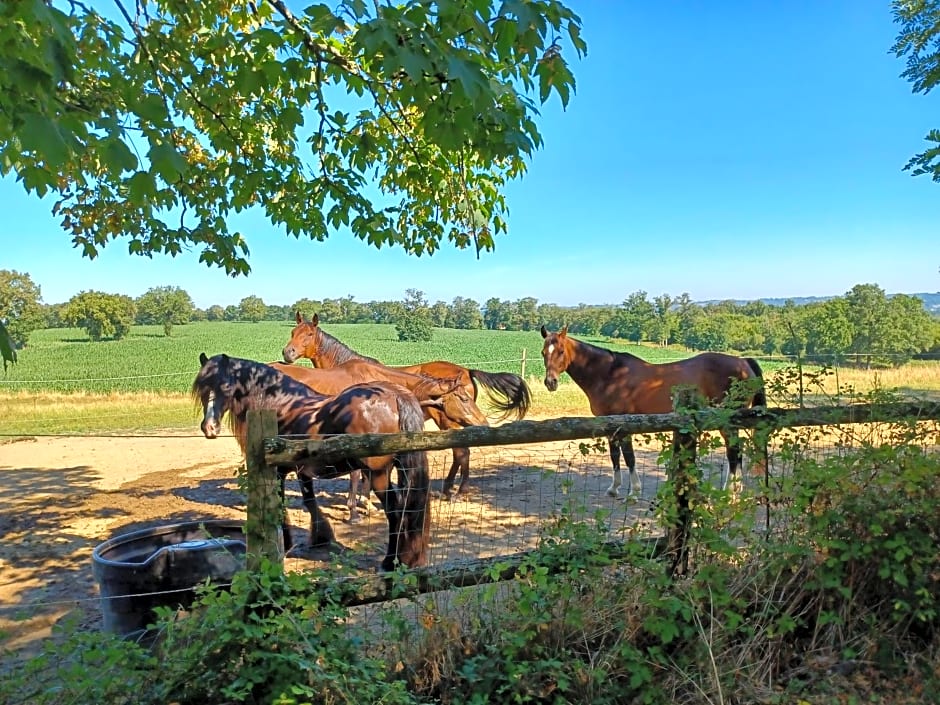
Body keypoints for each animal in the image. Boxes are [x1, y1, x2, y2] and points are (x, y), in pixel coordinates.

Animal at [192, 354, 434, 568]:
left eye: (225, 386)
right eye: (202, 389)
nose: (209, 428)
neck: (282, 405)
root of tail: (394, 395)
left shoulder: (279, 471)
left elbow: (281, 506)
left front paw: (287, 545)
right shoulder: (303, 471)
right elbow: (310, 502)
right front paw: (321, 537)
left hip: (379, 474)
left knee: (394, 511)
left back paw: (390, 561)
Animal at [280, 310, 532, 498]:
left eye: (309, 334)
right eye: (292, 332)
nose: (287, 352)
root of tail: (467, 371)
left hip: (448, 421)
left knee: (461, 451)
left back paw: (454, 491)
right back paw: (452, 489)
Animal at [540, 324, 768, 496]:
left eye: (561, 351)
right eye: (543, 353)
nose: (550, 383)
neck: (609, 374)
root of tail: (743, 362)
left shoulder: (624, 425)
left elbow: (629, 456)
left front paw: (634, 491)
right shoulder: (609, 424)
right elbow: (615, 456)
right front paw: (614, 488)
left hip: (726, 421)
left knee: (733, 452)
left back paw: (729, 490)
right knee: (736, 452)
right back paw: (736, 490)